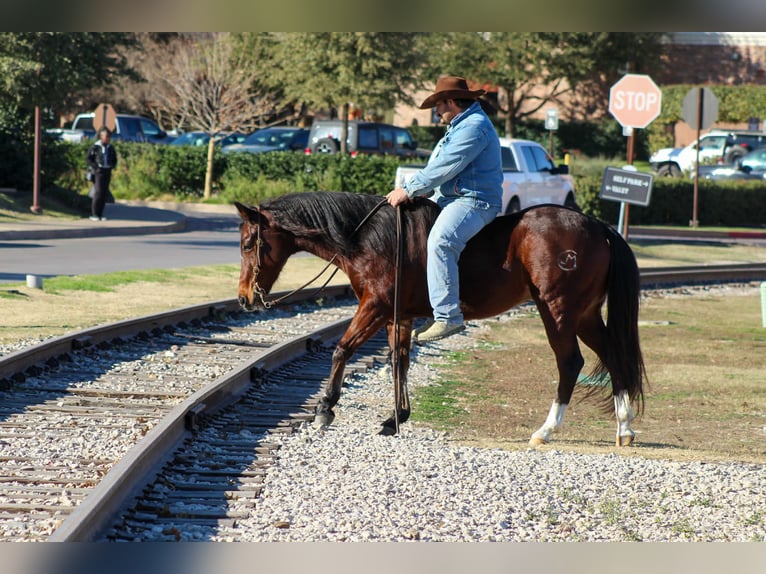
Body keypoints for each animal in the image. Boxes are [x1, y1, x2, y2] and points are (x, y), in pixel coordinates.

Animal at [235, 191, 647, 447]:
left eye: (247, 243)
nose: (244, 298)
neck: (368, 239)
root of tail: (598, 227)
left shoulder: (375, 307)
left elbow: (342, 349)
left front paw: (325, 408)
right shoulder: (397, 318)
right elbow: (398, 362)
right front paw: (397, 417)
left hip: (558, 311)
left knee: (570, 362)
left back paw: (546, 430)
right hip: (585, 315)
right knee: (613, 355)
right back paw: (624, 426)